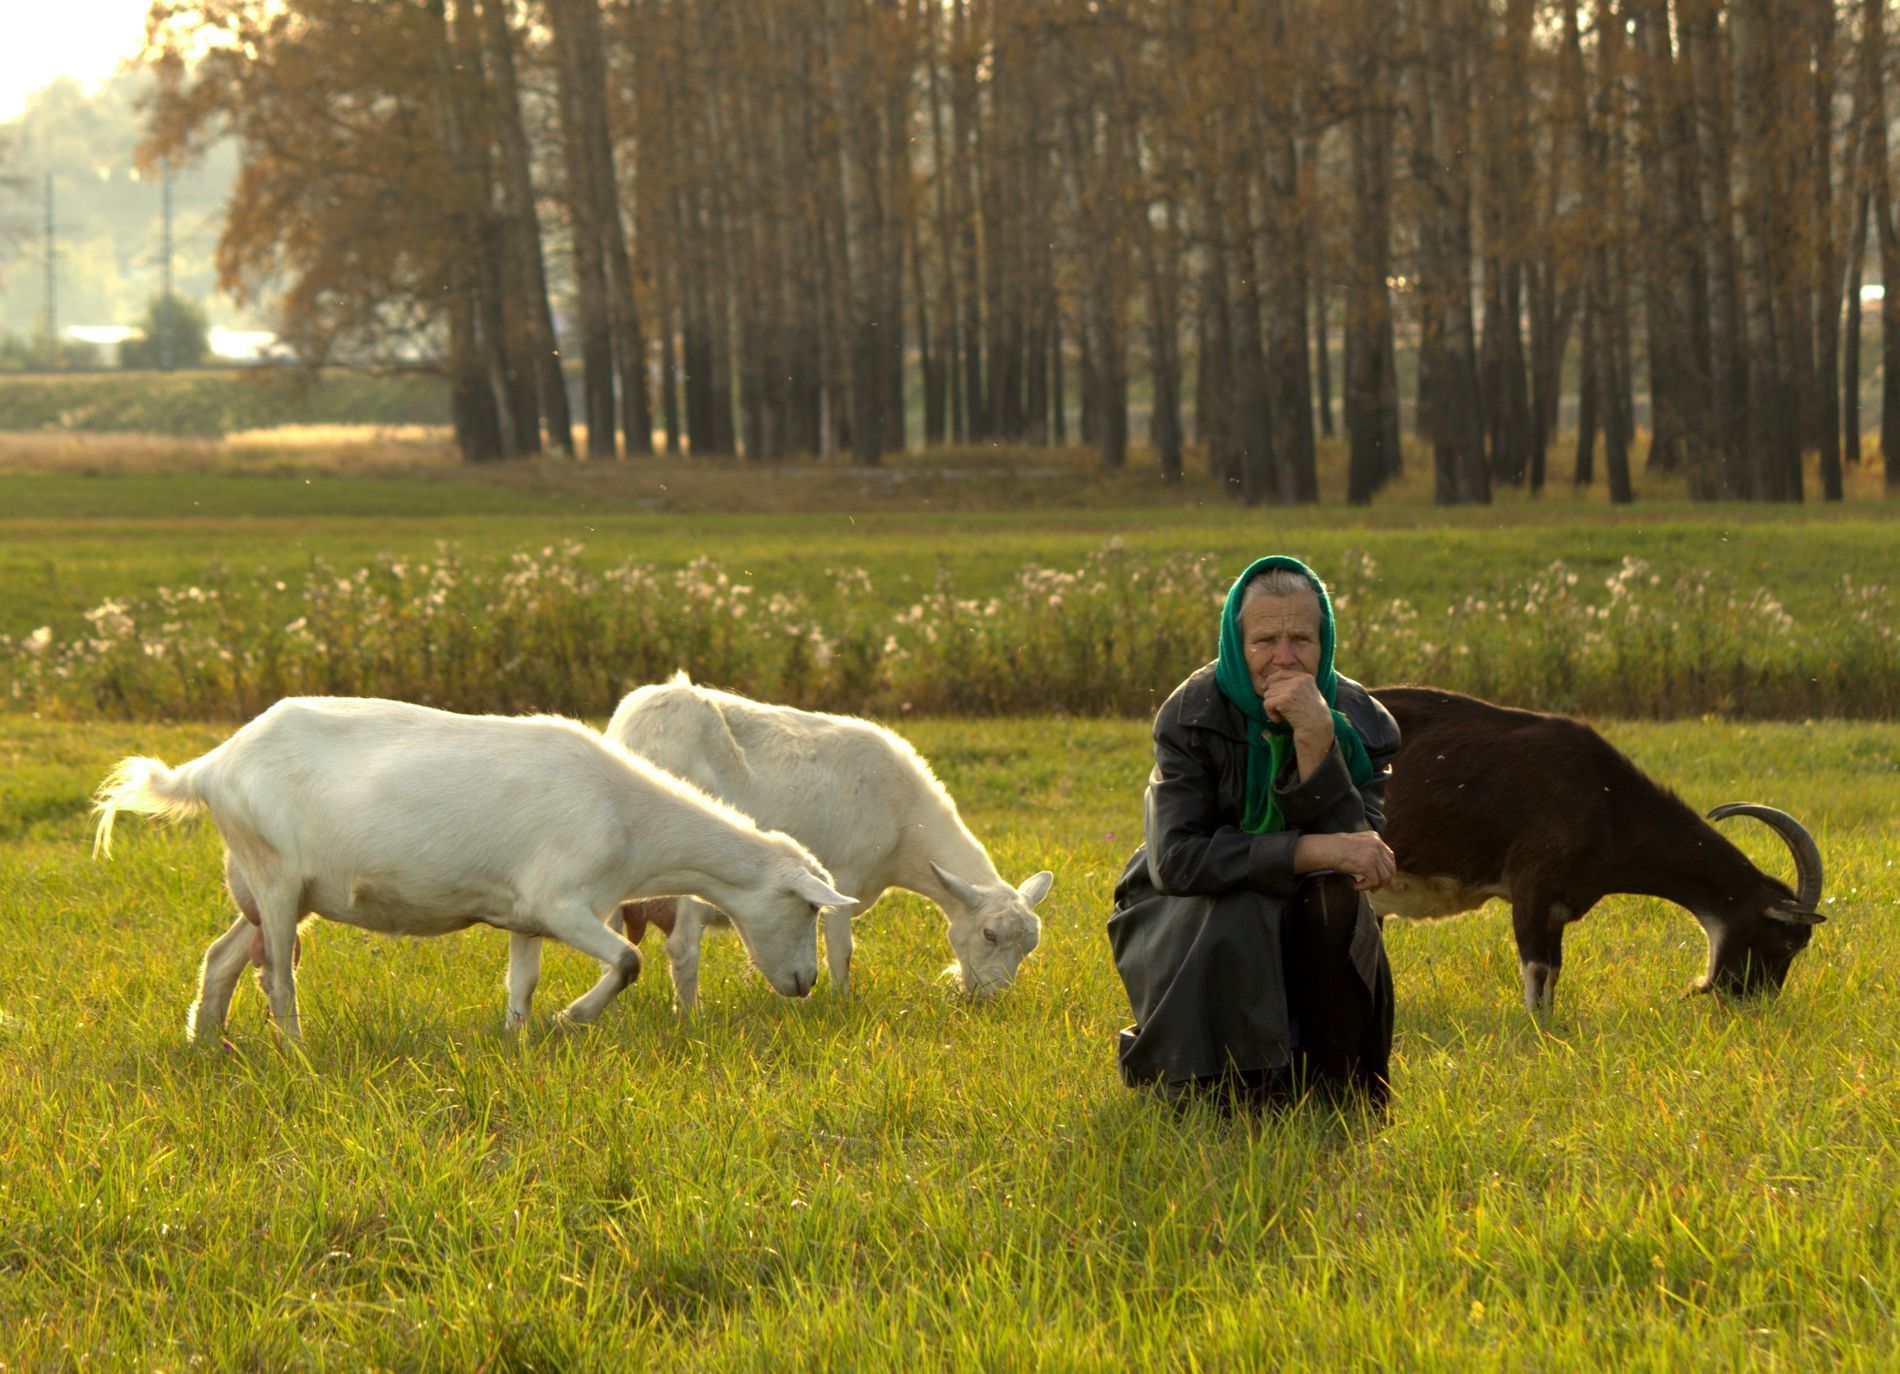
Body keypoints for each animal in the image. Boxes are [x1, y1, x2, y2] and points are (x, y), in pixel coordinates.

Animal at [94, 699, 855, 1041]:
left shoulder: (527, 914)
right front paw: (573, 1017)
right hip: (276, 879)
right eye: (808, 905)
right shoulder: (563, 902)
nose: (805, 983)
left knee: (223, 956)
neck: (633, 820)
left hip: (266, 884)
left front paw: (518, 1038)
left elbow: (522, 983)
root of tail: (212, 765)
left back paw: (208, 1043)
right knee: (278, 977)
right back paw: (297, 1051)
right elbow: (628, 962)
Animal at [604, 676, 1056, 1011]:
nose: (990, 999)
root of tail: (638, 729)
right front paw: (841, 1003)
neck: (906, 829)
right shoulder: (845, 880)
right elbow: (842, 952)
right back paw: (690, 1015)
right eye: (989, 935)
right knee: (683, 947)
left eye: (1029, 946)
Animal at [1368, 684, 1824, 1011]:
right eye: (1788, 942)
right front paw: (1536, 1029)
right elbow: (1536, 970)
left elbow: (1553, 971)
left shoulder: (1558, 907)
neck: (1607, 802)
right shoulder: (1531, 885)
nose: (1753, 1004)